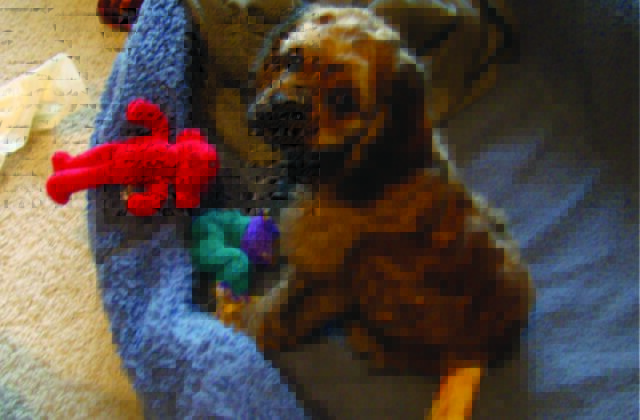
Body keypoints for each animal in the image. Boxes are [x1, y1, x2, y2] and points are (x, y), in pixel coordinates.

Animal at [242, 3, 535, 378]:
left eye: (343, 100)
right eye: (293, 58)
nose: (288, 108)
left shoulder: (322, 274)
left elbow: (275, 311)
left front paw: (241, 325)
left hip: (372, 266)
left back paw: (370, 341)